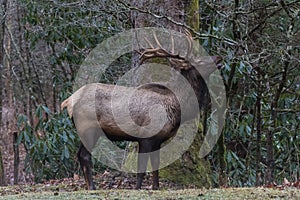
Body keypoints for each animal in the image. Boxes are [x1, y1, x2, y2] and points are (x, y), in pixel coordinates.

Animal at [61, 30, 221, 190]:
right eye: (199, 62)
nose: (219, 57)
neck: (177, 107)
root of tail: (68, 102)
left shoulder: (158, 140)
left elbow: (156, 165)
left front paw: (156, 187)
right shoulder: (146, 136)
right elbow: (142, 168)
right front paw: (138, 188)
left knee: (81, 155)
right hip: (88, 128)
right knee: (84, 156)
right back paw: (92, 187)